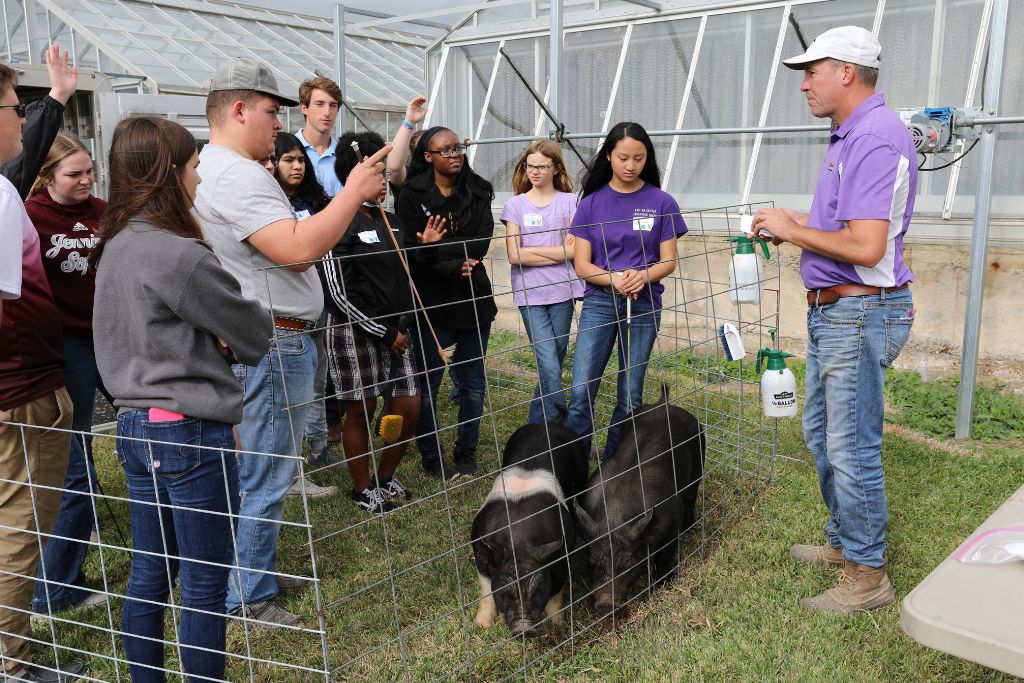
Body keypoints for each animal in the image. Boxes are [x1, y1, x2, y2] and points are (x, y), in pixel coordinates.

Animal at [468, 413, 585, 638]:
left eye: (538, 587)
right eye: (505, 588)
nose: (523, 629)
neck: (518, 539)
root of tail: (551, 423)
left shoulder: (563, 553)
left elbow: (556, 593)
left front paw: (557, 624)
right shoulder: (480, 550)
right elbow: (486, 589)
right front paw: (482, 625)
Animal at [577, 389, 704, 618]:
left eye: (628, 564)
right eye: (593, 563)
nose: (606, 604)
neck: (616, 516)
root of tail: (664, 402)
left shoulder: (670, 521)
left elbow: (663, 558)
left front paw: (663, 586)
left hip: (699, 460)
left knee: (691, 496)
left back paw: (689, 527)